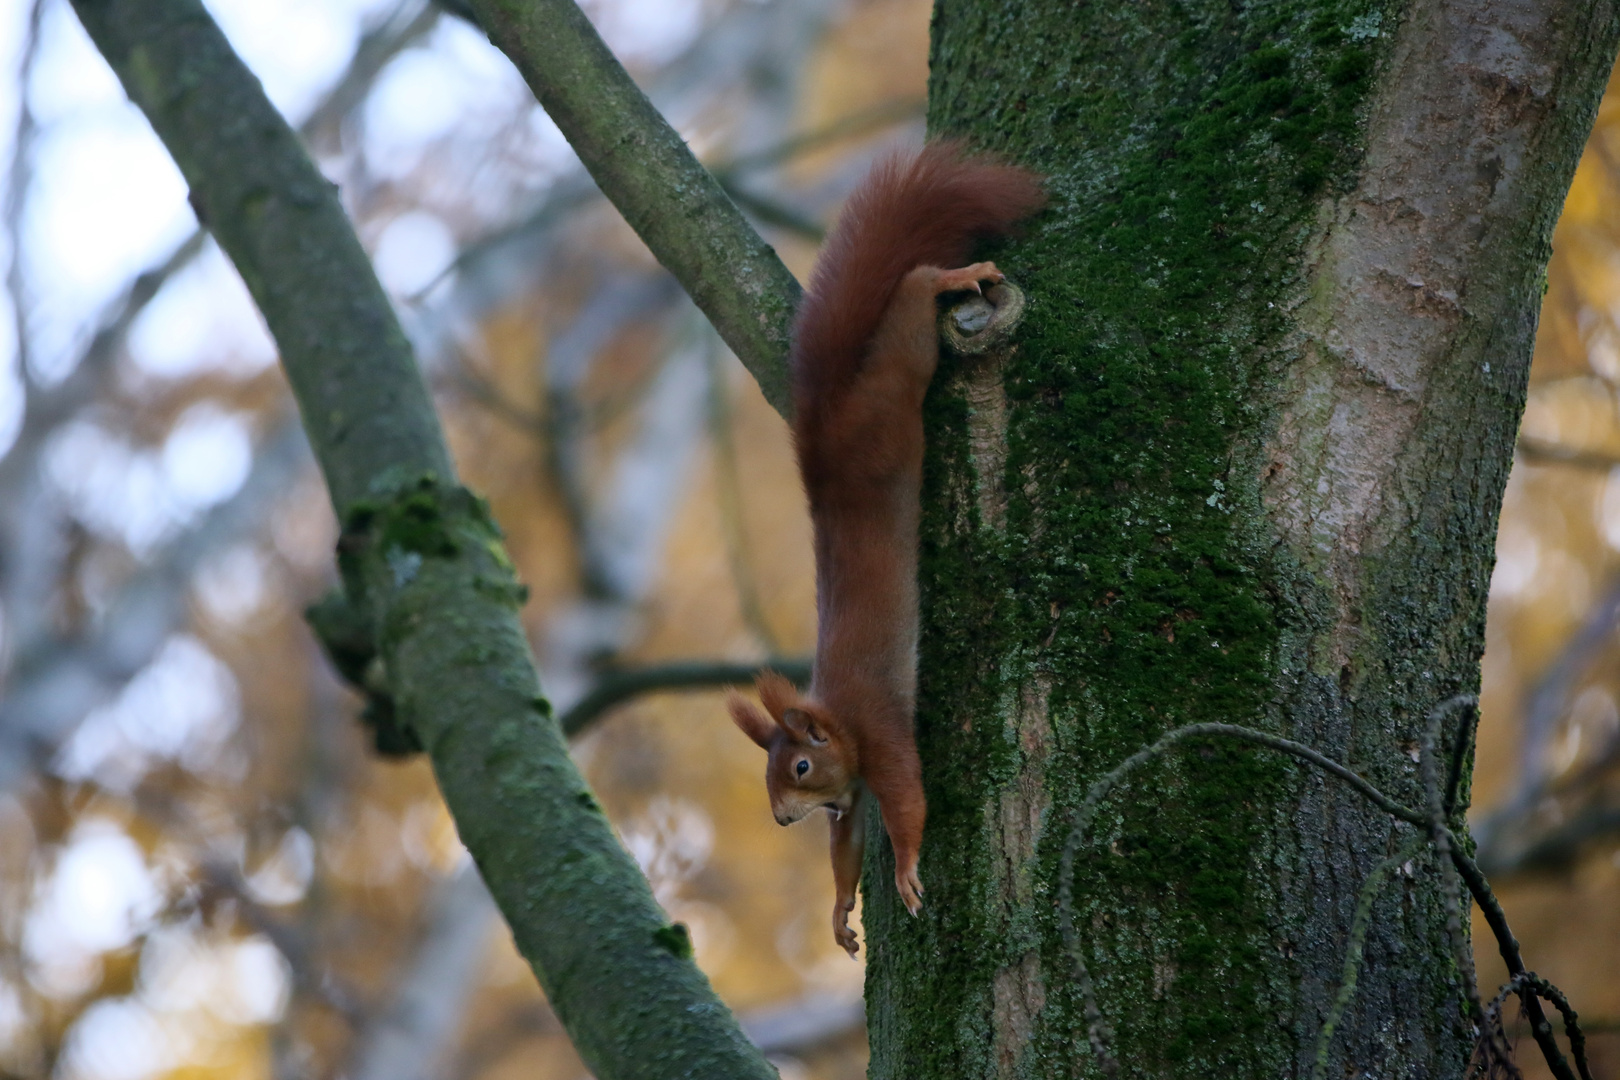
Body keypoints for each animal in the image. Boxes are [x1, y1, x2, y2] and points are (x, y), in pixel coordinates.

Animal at [729, 141, 1043, 952]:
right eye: (770, 775)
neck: (836, 717)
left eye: (799, 767)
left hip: (898, 378)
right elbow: (843, 848)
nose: (782, 820)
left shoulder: (881, 733)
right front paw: (842, 912)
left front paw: (904, 869)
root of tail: (824, 427)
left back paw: (956, 276)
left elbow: (908, 800)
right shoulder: (848, 798)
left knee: (911, 295)